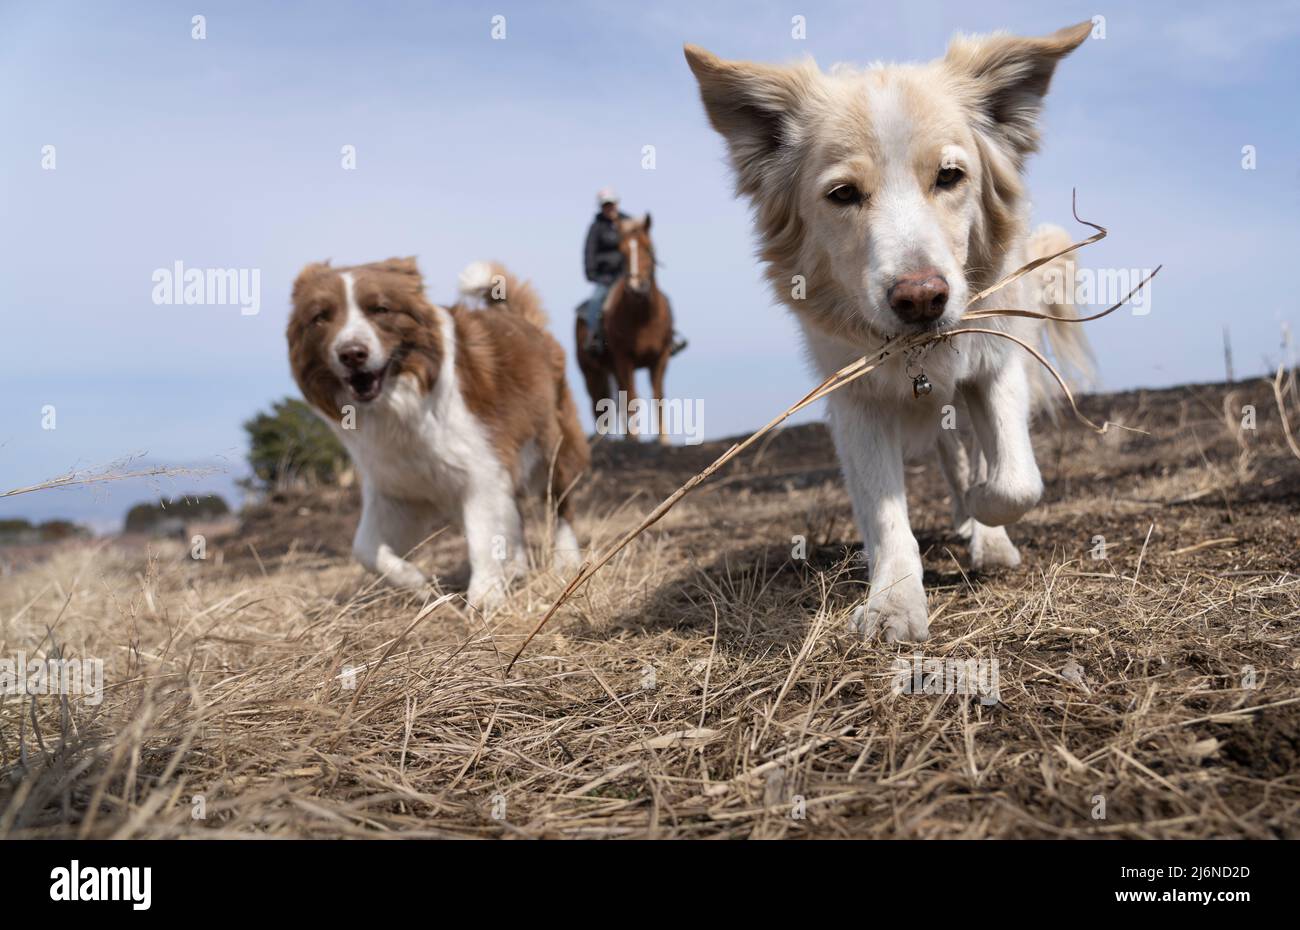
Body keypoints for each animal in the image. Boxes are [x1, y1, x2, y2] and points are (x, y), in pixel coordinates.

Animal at [575, 214, 675, 445]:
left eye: (648, 247)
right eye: (622, 252)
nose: (637, 286)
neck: (643, 319)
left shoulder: (661, 357)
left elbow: (658, 399)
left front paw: (663, 440)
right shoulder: (623, 359)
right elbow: (632, 401)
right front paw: (635, 440)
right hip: (592, 372)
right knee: (600, 406)